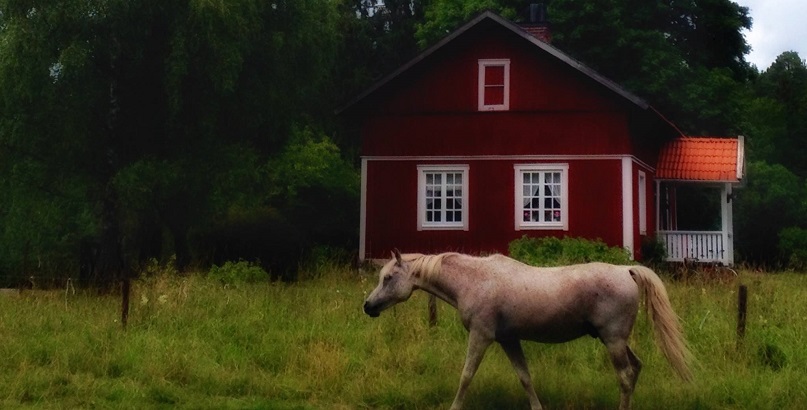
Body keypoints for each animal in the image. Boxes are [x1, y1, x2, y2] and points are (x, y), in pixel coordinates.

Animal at [363, 250, 692, 410]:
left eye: (388, 278)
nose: (368, 306)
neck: (474, 279)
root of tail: (627, 270)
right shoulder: (509, 339)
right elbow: (524, 377)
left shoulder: (481, 336)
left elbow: (466, 376)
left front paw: (454, 407)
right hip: (618, 341)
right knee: (635, 369)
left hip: (612, 341)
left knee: (624, 376)